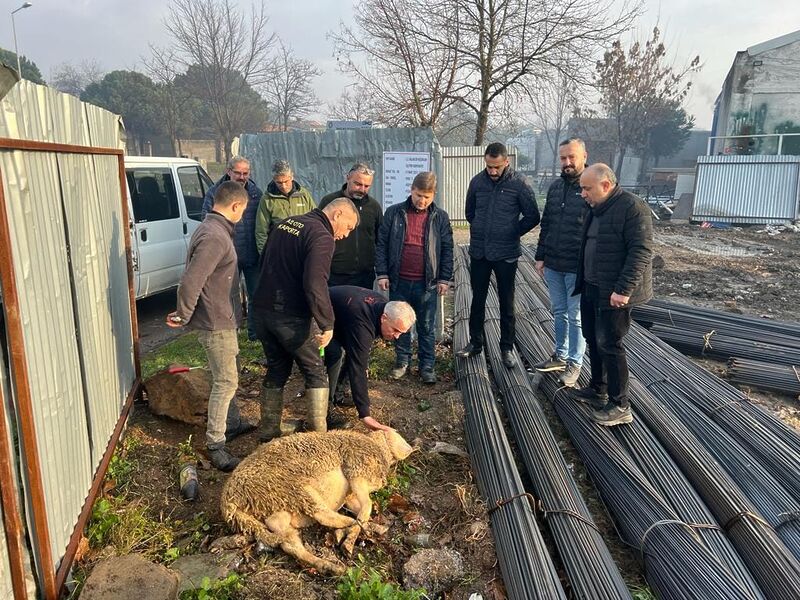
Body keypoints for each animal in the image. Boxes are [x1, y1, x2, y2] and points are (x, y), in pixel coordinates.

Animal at [222, 428, 416, 576]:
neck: (377, 447)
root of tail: (230, 501)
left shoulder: (350, 495)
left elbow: (362, 508)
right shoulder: (356, 469)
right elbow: (367, 505)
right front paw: (350, 540)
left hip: (275, 511)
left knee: (291, 545)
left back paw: (332, 567)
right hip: (294, 489)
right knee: (322, 515)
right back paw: (347, 529)